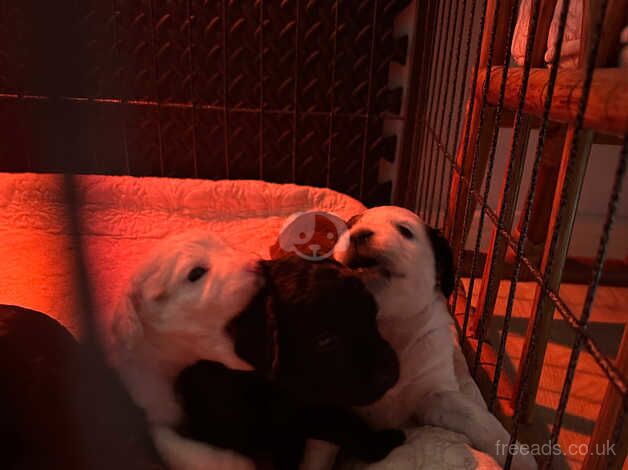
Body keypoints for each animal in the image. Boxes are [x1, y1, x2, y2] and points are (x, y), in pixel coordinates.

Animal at [326, 207, 536, 470]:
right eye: (349, 227)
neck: (388, 328)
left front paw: (518, 455)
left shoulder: (436, 394)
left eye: (405, 230)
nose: (357, 234)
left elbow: (478, 417)